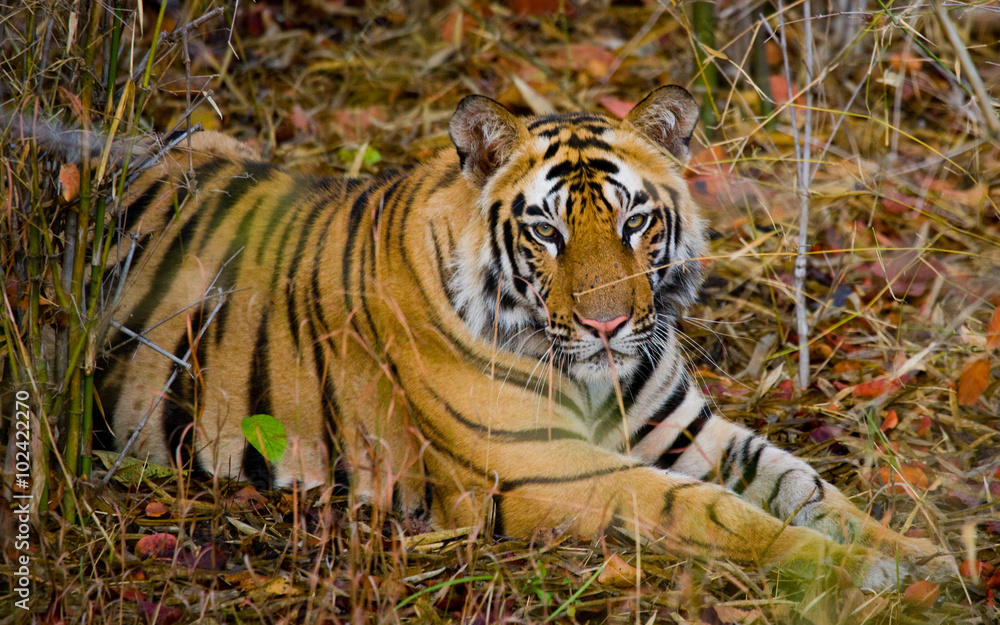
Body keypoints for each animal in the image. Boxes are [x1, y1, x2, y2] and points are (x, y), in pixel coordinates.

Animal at [98, 85, 957, 589]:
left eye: (635, 221)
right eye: (546, 230)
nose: (608, 323)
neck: (597, 375)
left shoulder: (686, 429)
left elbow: (806, 484)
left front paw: (921, 553)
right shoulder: (537, 466)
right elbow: (711, 510)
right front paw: (855, 569)